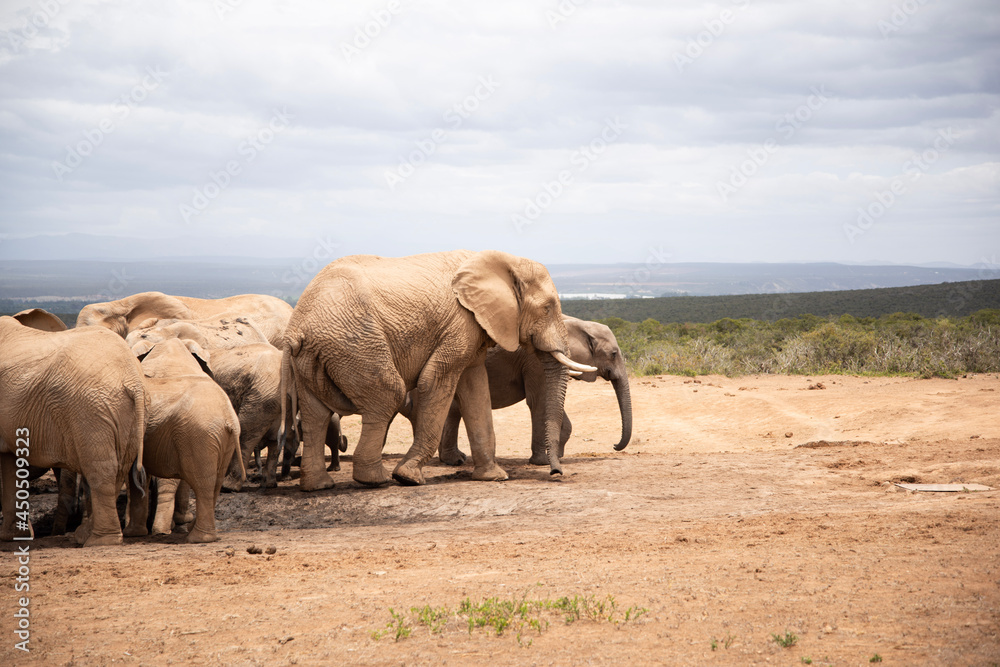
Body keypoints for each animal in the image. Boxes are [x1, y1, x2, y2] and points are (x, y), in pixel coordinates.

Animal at [0, 316, 147, 547]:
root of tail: (132, 378)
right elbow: (10, 462)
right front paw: (13, 537)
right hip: (126, 414)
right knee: (120, 469)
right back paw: (85, 535)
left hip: (90, 410)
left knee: (101, 470)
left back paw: (99, 541)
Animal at [124, 337, 242, 543]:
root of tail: (228, 417)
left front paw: (132, 534)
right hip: (209, 436)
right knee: (214, 481)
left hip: (197, 434)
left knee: (202, 482)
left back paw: (194, 537)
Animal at [281, 250, 596, 490]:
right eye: (547, 308)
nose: (556, 473)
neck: (503, 261)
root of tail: (295, 330)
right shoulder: (458, 324)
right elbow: (435, 382)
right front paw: (408, 477)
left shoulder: (473, 328)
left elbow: (475, 389)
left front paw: (493, 477)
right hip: (354, 343)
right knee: (387, 395)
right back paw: (376, 480)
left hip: (313, 357)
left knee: (315, 414)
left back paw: (318, 486)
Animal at [437, 316, 632, 467]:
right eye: (614, 354)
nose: (614, 445)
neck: (576, 323)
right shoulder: (536, 362)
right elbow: (540, 402)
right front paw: (543, 461)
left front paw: (557, 455)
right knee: (454, 409)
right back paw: (455, 460)